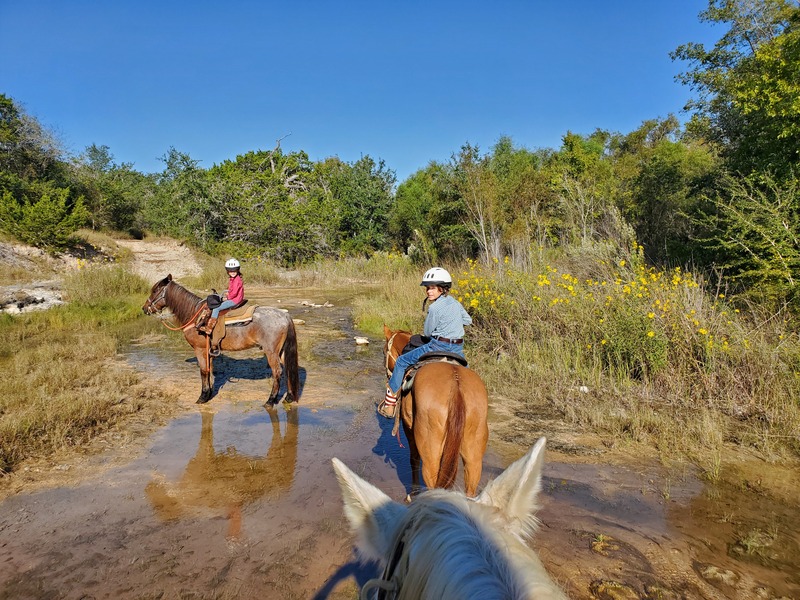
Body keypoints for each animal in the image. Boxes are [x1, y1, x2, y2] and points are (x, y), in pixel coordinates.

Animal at [144, 274, 300, 406]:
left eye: (155, 291)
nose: (145, 308)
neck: (195, 315)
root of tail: (284, 315)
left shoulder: (199, 349)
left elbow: (203, 371)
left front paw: (202, 397)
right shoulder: (209, 350)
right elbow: (210, 370)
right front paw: (209, 394)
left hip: (271, 352)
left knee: (277, 372)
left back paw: (270, 401)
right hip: (281, 351)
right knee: (288, 369)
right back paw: (288, 397)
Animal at [382, 326, 488, 500]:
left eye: (385, 351)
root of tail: (456, 384)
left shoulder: (408, 427)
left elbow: (414, 459)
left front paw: (413, 493)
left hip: (430, 451)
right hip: (474, 453)